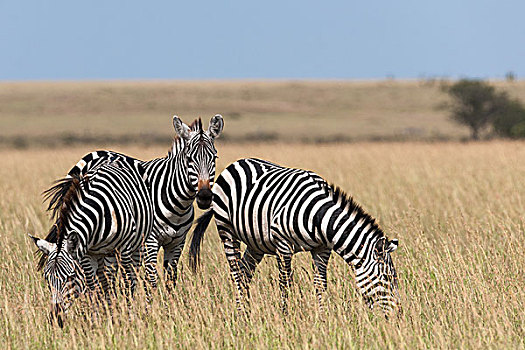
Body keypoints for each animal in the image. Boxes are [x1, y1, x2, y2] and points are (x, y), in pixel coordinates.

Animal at [29, 154, 154, 326]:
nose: (56, 319)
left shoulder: (124, 248)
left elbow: (127, 283)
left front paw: (129, 319)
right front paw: (98, 321)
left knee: (130, 277)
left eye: (70, 277)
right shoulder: (88, 254)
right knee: (105, 282)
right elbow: (93, 287)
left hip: (136, 245)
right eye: (47, 278)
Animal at [44, 115, 224, 290]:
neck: (178, 205)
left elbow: (170, 279)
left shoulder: (177, 242)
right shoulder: (149, 241)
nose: (205, 196)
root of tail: (90, 155)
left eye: (214, 158)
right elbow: (151, 280)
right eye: (189, 159)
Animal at [190, 159, 400, 318]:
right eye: (388, 278)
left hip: (255, 244)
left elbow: (320, 284)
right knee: (236, 271)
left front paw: (323, 318)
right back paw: (242, 313)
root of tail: (236, 163)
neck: (319, 217)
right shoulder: (283, 246)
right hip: (226, 230)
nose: (398, 316)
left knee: (244, 273)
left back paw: (246, 313)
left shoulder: (322, 249)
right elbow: (285, 284)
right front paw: (285, 317)